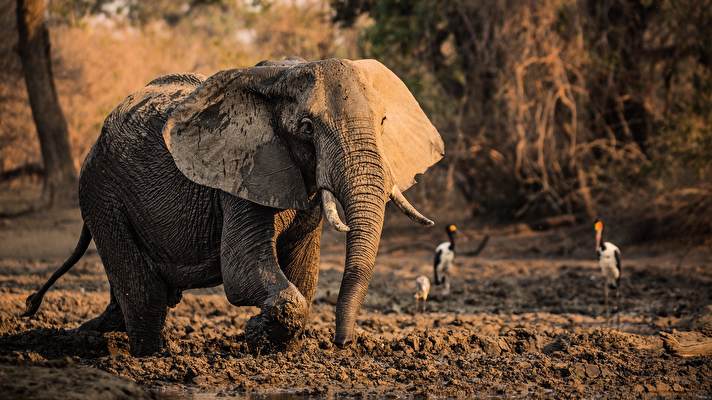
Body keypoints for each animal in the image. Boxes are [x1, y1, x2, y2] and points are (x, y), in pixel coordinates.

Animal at [22, 57, 442, 356]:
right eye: (307, 128)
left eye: (383, 122)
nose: (343, 344)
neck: (282, 75)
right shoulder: (240, 174)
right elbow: (242, 272)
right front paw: (255, 333)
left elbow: (303, 274)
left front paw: (277, 347)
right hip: (101, 193)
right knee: (145, 296)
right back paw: (151, 357)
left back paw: (85, 336)